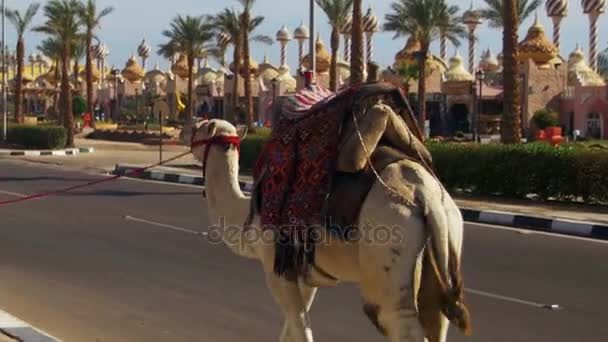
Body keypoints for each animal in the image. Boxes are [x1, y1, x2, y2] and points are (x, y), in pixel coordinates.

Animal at [183, 118, 472, 342]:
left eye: (201, 126)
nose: (185, 129)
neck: (247, 215)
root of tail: (425, 195)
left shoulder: (275, 268)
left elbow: (299, 327)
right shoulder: (303, 271)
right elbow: (294, 325)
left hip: (388, 249)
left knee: (395, 317)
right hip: (447, 237)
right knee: (437, 316)